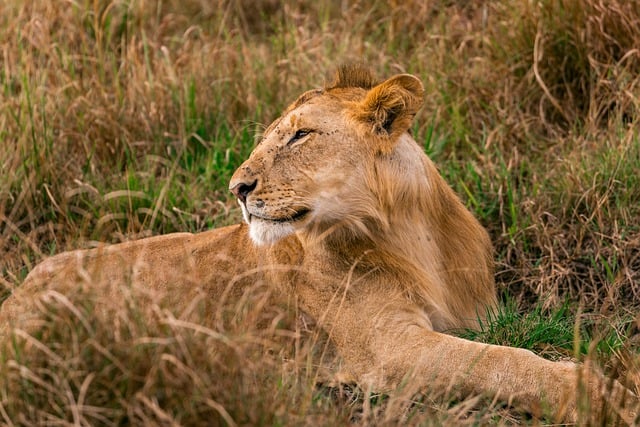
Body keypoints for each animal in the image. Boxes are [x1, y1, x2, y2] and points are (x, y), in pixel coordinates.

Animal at [1, 65, 636, 422]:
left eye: (300, 135)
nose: (237, 189)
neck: (409, 236)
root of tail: (15, 296)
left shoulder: (471, 317)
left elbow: (504, 351)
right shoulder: (390, 352)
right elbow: (505, 362)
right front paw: (601, 395)